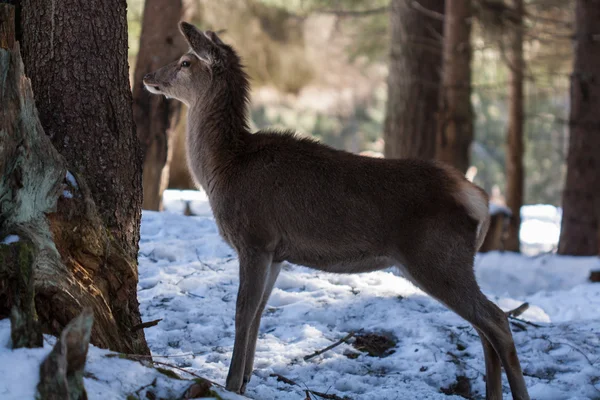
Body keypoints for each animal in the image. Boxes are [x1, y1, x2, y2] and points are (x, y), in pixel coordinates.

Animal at [145, 21, 528, 400]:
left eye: (185, 62)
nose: (148, 74)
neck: (223, 169)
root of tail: (478, 199)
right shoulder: (276, 252)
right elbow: (260, 311)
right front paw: (245, 381)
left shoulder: (255, 237)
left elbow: (242, 311)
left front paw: (230, 384)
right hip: (451, 260)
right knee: (483, 326)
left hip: (436, 256)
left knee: (497, 320)